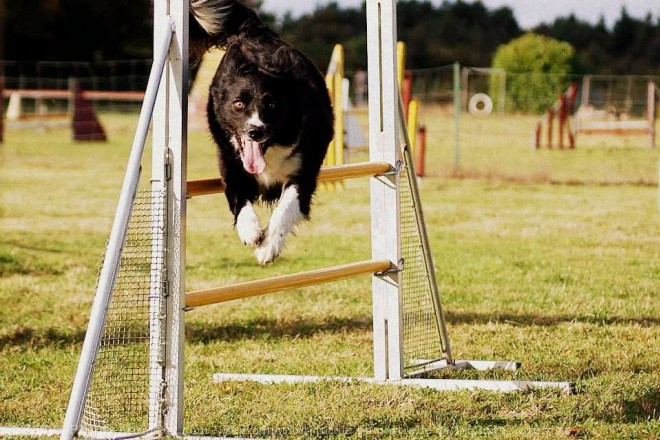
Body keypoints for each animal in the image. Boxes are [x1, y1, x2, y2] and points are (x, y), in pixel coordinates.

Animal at [191, 0, 336, 264]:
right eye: (238, 104)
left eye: (271, 105)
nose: (254, 132)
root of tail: (256, 33)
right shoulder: (231, 163)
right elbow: (238, 197)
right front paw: (250, 230)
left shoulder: (304, 172)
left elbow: (285, 208)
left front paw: (268, 246)